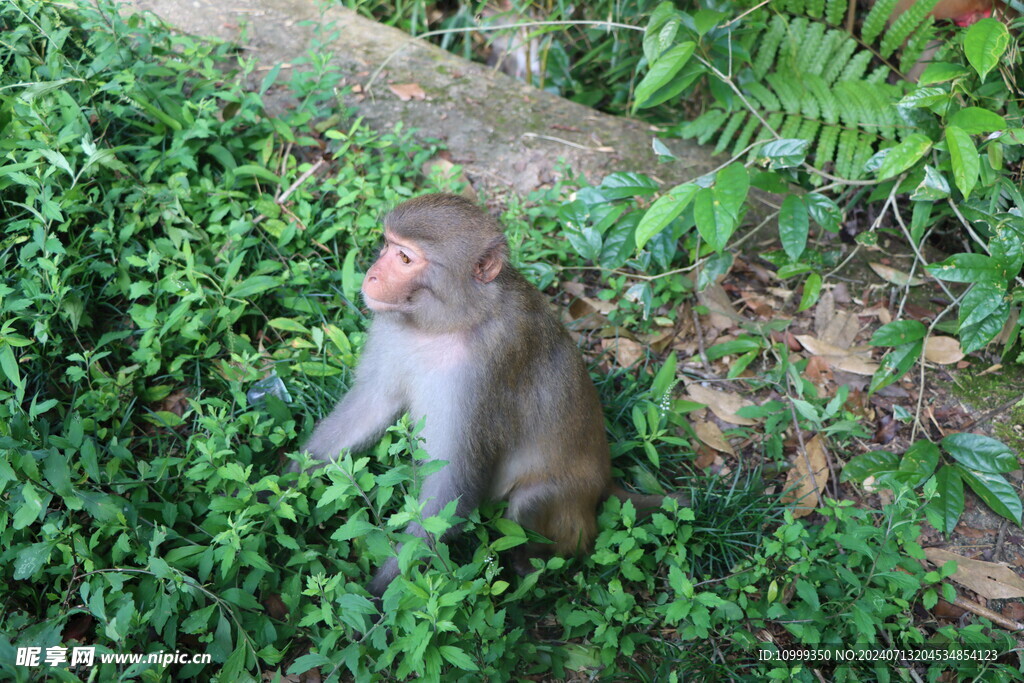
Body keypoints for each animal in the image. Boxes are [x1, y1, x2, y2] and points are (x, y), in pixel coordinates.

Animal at [294, 193, 679, 598]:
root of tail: (606, 482)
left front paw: (379, 595)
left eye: (405, 259)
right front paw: (282, 489)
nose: (371, 275)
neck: (452, 321)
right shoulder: (393, 329)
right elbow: (372, 406)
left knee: (530, 502)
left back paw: (528, 568)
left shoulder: (483, 371)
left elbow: (453, 484)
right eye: (387, 245)